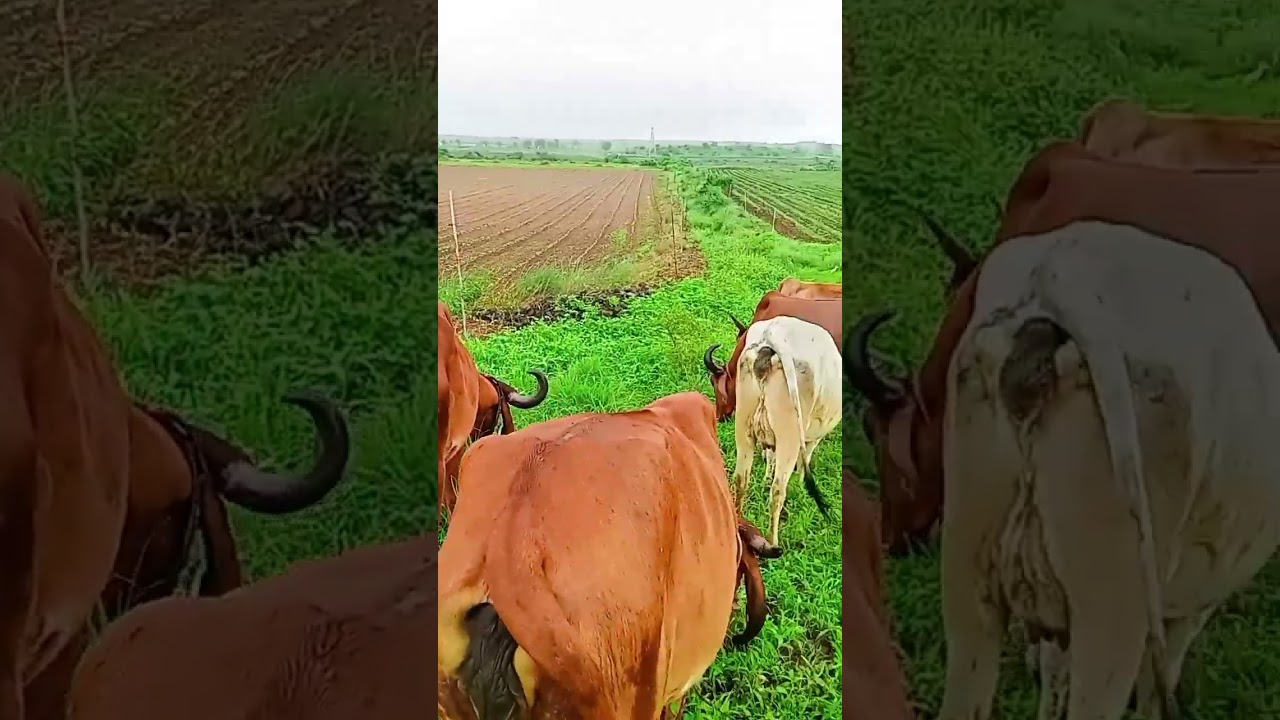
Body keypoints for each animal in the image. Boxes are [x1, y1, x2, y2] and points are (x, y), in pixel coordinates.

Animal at [732, 315, 839, 546]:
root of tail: (773, 335)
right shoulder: (812, 437)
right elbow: (804, 459)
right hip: (788, 436)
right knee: (778, 490)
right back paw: (773, 542)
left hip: (743, 427)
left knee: (741, 478)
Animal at [937, 221, 1280, 720]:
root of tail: (1062, 273)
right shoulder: (1191, 608)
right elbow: (1158, 687)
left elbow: (1053, 678)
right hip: (1113, 609)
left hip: (969, 582)